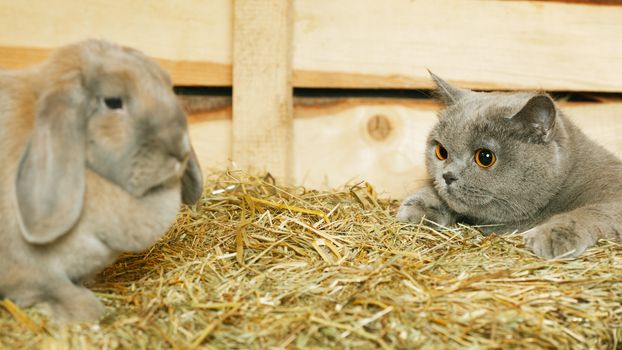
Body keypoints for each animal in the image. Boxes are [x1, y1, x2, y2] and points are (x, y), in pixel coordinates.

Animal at [400, 72, 622, 258]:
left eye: (485, 157)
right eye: (441, 152)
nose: (447, 175)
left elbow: (590, 211)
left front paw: (553, 234)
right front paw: (418, 206)